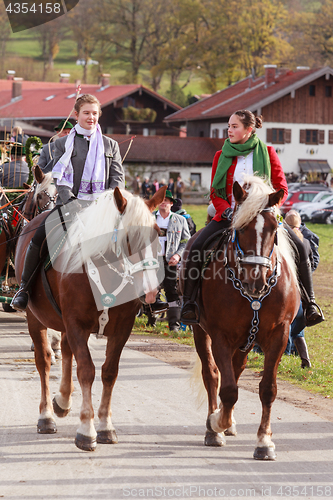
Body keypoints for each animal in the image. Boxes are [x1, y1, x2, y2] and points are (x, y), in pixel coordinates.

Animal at [14, 186, 165, 452]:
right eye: (129, 236)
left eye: (157, 234)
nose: (150, 291)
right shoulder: (77, 325)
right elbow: (86, 370)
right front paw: (86, 429)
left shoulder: (121, 329)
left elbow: (109, 372)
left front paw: (105, 426)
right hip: (35, 318)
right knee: (44, 362)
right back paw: (46, 416)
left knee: (65, 351)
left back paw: (63, 400)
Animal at [184, 176, 298, 460]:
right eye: (241, 227)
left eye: (273, 228)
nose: (256, 280)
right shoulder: (220, 336)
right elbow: (227, 389)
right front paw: (215, 424)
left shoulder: (279, 335)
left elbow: (267, 389)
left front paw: (264, 442)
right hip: (201, 332)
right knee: (212, 375)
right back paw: (216, 425)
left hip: (246, 341)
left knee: (235, 370)